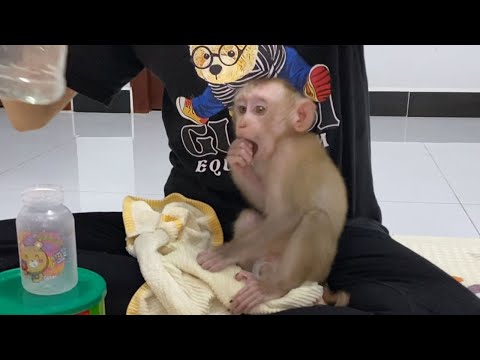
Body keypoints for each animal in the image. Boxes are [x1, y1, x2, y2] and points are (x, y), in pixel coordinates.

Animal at [196, 77, 348, 314]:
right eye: (242, 109)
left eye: (260, 110)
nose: (242, 123)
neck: (282, 139)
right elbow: (266, 206)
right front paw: (238, 156)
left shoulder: (288, 155)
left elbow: (288, 214)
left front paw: (223, 254)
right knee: (249, 217)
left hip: (315, 270)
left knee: (316, 219)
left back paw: (274, 287)